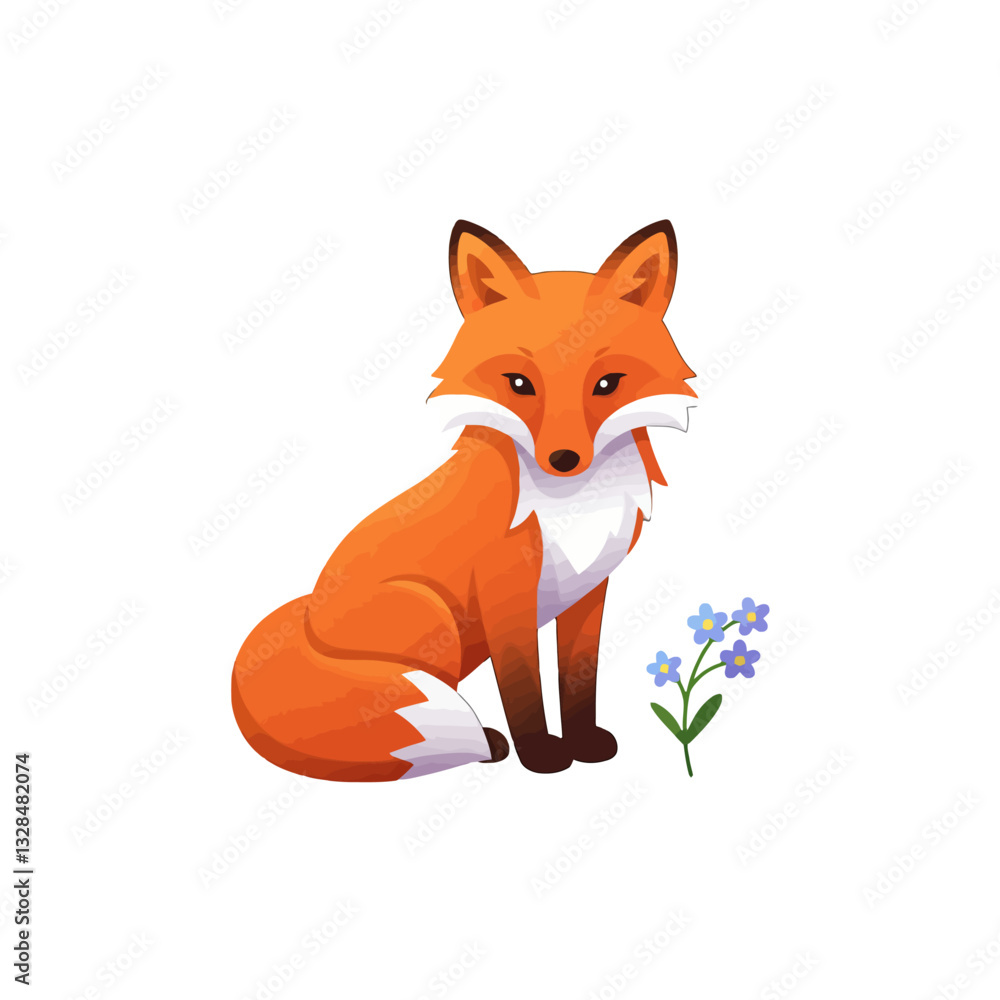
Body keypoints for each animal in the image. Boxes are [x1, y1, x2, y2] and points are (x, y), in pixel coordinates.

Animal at [232, 219, 696, 780]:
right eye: (518, 383)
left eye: (607, 384)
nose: (564, 459)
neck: (571, 508)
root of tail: (305, 618)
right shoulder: (504, 593)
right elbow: (523, 687)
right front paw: (540, 754)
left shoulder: (590, 591)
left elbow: (577, 682)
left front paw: (584, 742)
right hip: (435, 620)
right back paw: (489, 741)